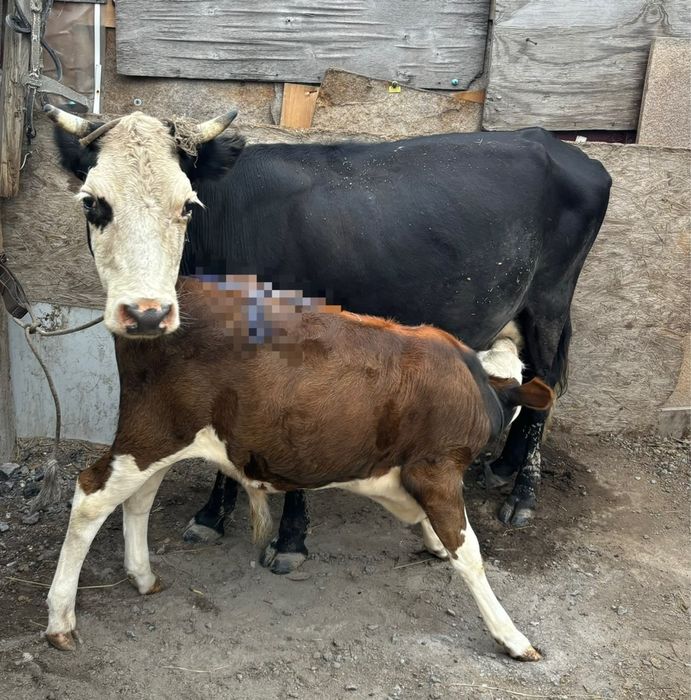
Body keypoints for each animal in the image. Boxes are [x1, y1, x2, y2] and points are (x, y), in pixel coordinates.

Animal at [47, 106, 611, 576]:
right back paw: (503, 467)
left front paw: (291, 540)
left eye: (187, 205)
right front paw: (212, 515)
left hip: (549, 302)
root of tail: (554, 143)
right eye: (93, 204)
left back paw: (523, 494)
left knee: (548, 384)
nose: (148, 314)